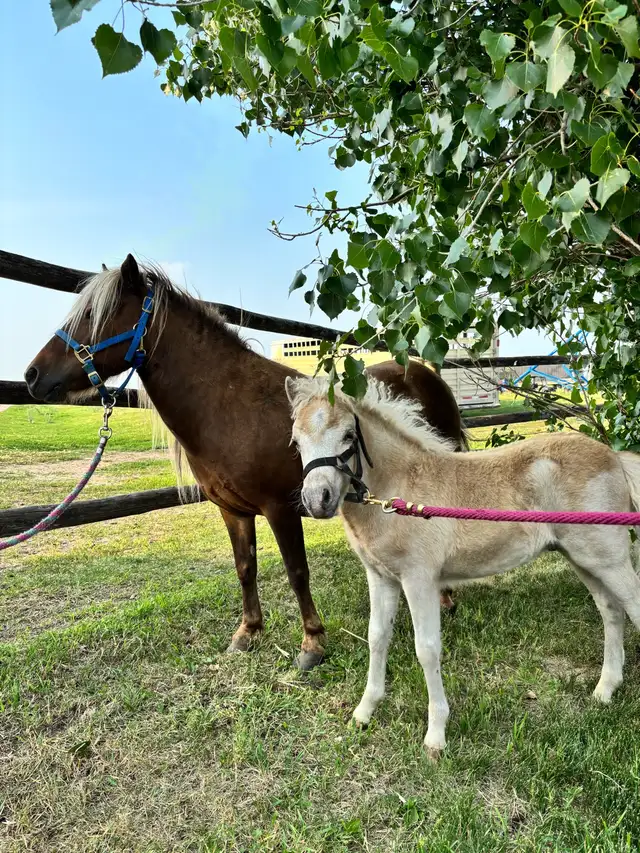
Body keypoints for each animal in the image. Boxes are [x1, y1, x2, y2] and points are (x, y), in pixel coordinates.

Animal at [24, 254, 466, 669]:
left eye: (92, 315)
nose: (32, 376)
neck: (229, 407)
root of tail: (427, 372)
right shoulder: (232, 511)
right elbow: (244, 567)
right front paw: (248, 631)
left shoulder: (281, 508)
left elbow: (296, 572)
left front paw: (312, 643)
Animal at [287, 374, 640, 756]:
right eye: (296, 440)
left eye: (349, 436)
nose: (317, 500)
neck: (400, 491)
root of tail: (614, 457)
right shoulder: (381, 577)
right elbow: (377, 638)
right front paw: (364, 712)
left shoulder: (420, 579)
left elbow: (427, 650)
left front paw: (436, 735)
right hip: (583, 559)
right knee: (611, 611)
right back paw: (605, 689)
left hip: (610, 559)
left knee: (631, 607)